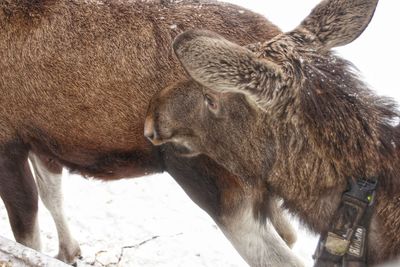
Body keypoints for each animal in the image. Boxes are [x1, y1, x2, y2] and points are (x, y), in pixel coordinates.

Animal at [0, 0, 304, 267]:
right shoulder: (41, 139)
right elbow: (52, 197)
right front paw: (68, 252)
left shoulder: (9, 141)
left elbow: (26, 236)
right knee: (289, 235)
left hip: (212, 176)